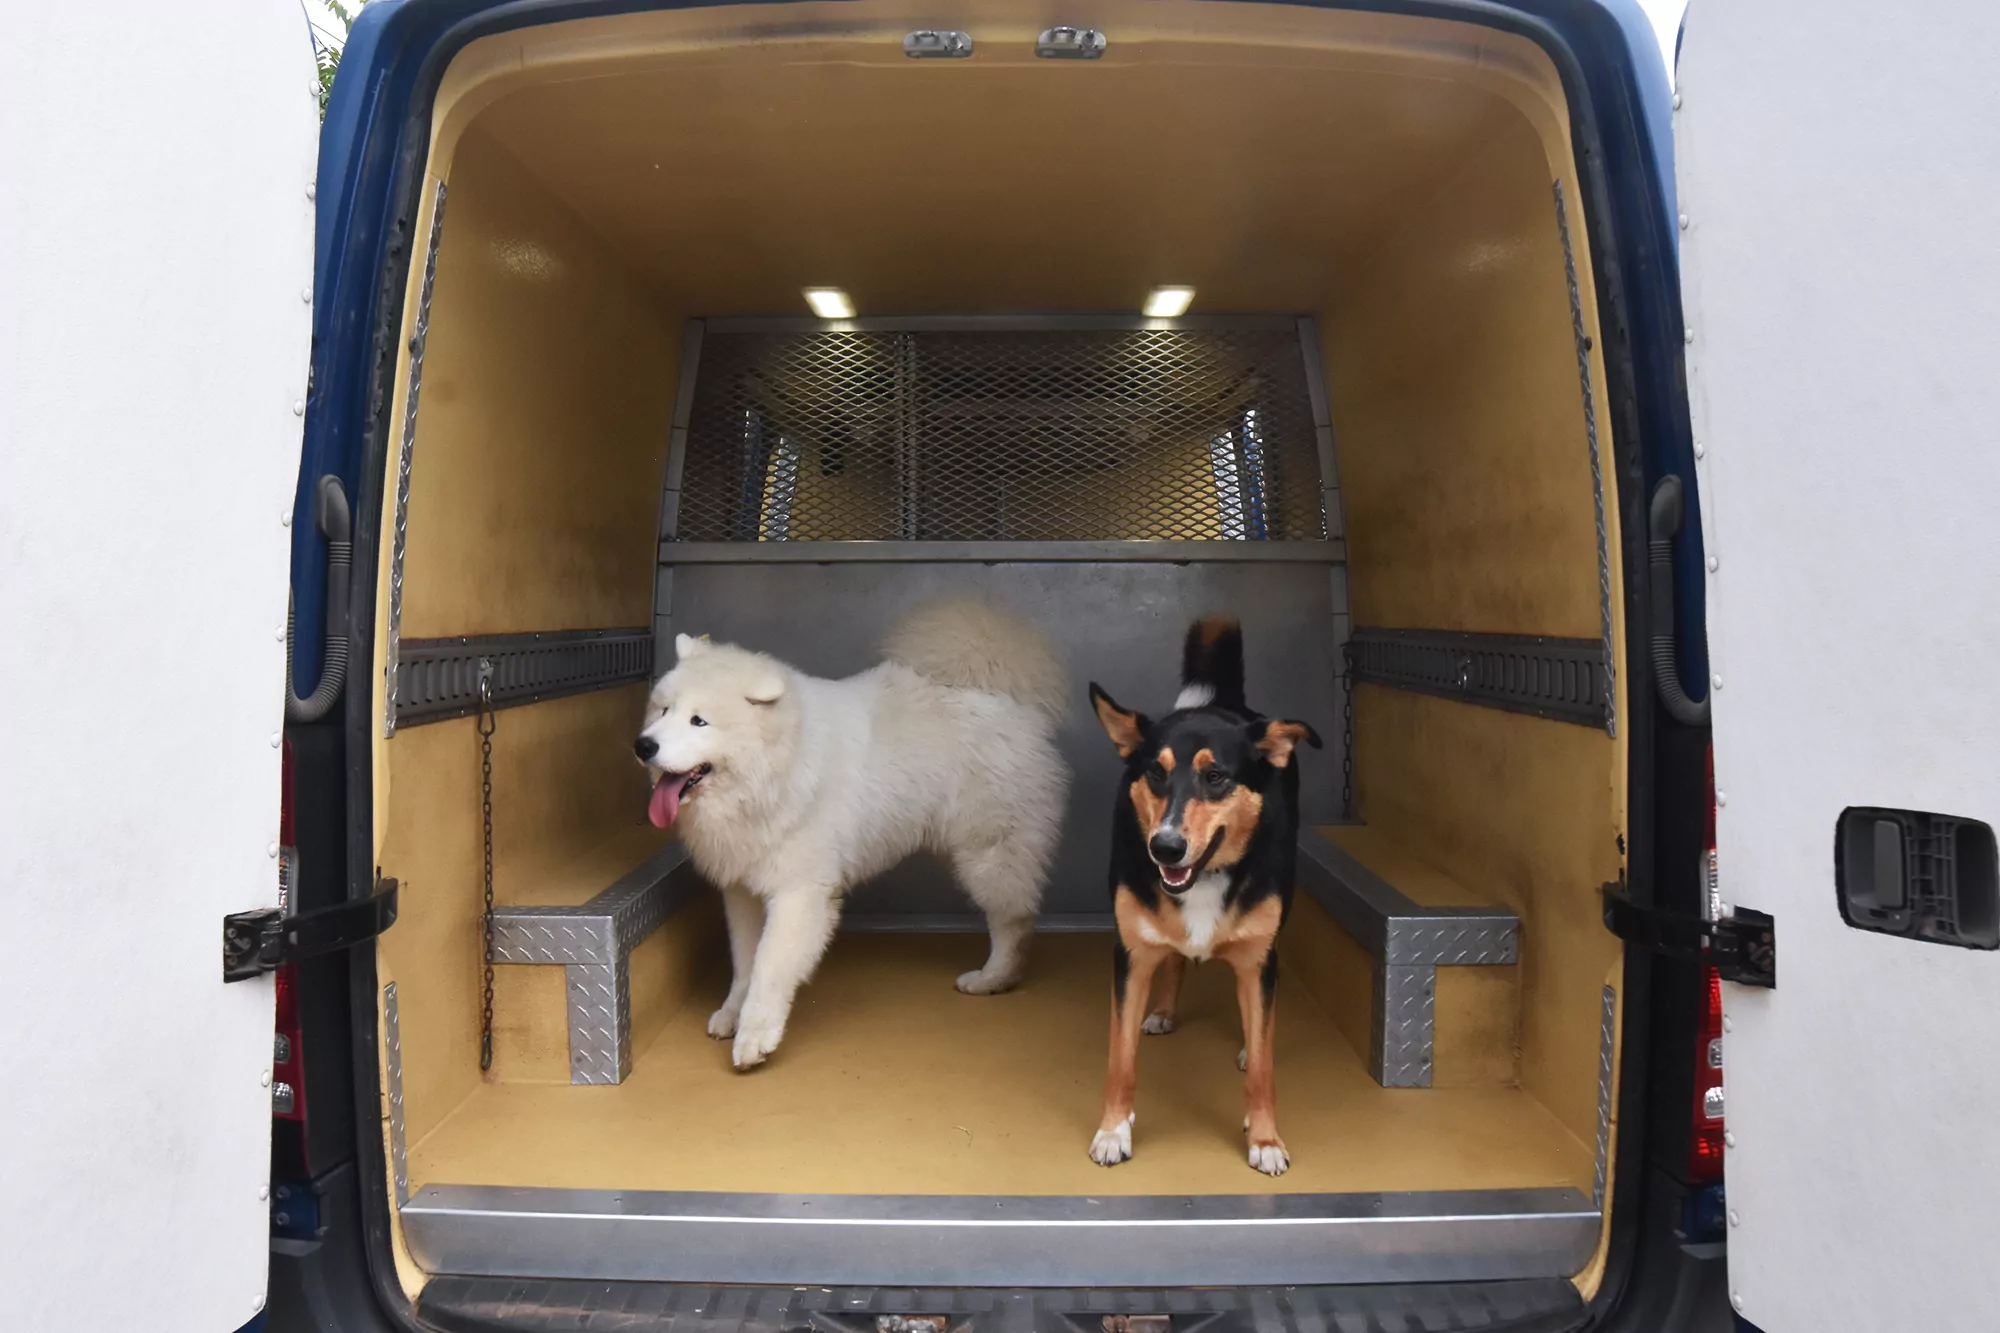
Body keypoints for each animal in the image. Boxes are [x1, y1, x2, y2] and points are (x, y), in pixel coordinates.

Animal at [640, 600, 1080, 1072]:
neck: (772, 775)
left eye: (699, 721)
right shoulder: (743, 890)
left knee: (1012, 922)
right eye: (663, 711)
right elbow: (744, 962)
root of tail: (1004, 694)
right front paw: (731, 1013)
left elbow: (769, 967)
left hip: (989, 855)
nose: (643, 745)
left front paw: (755, 1036)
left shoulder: (799, 893)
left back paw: (993, 978)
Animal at [1088, 616, 1320, 1168]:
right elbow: (1120, 1058)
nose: (1165, 847)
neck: (1206, 877)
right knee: (1174, 958)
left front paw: (1265, 1139)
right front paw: (1113, 1131)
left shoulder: (1258, 960)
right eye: (1155, 772)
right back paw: (1164, 1010)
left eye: (1215, 776)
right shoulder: (1129, 956)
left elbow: (1264, 1063)